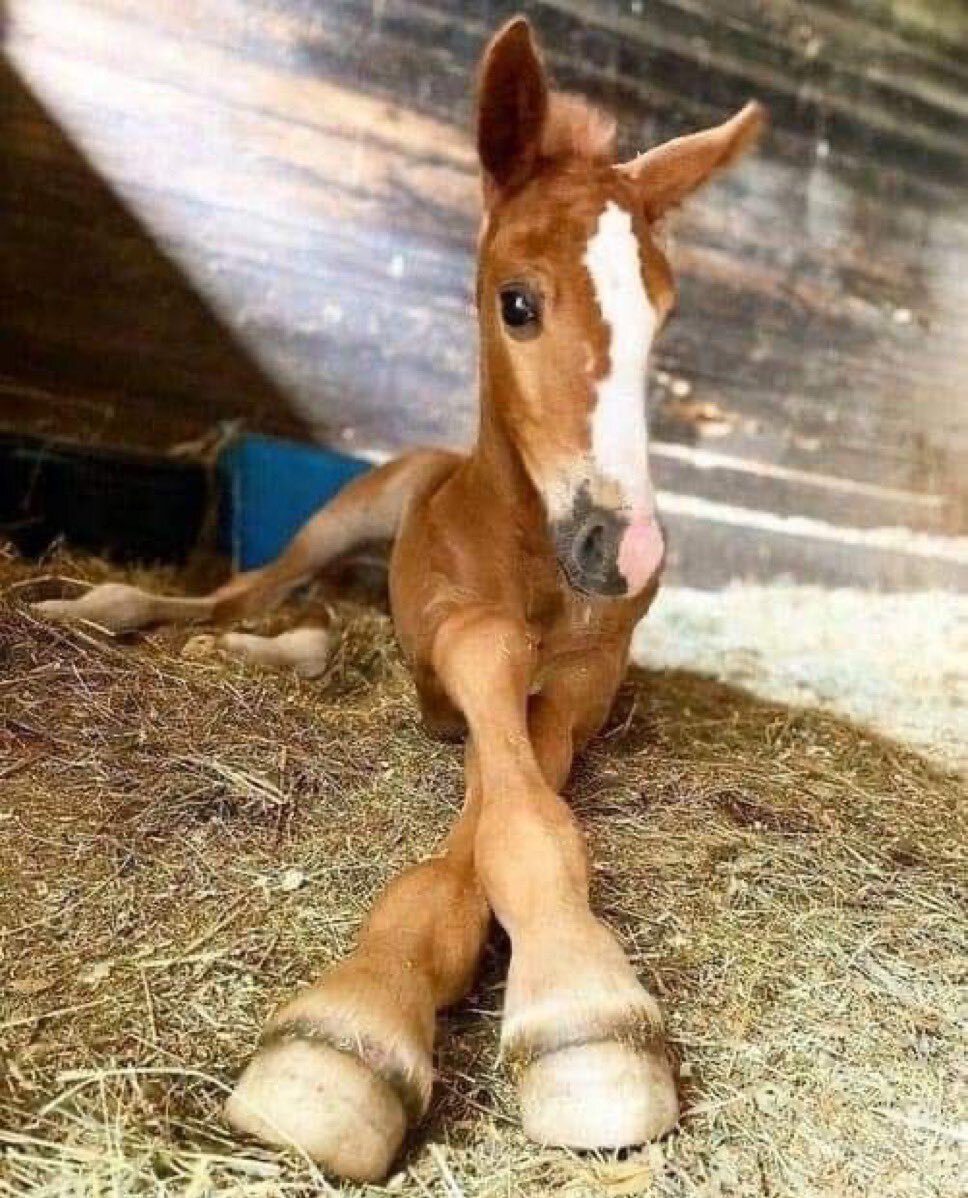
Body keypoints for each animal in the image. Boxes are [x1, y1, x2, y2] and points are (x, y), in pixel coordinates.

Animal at [35, 16, 764, 1183]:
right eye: (518, 302)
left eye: (662, 317)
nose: (629, 552)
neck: (530, 560)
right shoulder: (449, 644)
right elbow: (496, 723)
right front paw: (365, 1032)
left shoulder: (585, 682)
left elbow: (522, 800)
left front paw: (566, 1001)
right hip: (340, 521)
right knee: (239, 591)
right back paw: (96, 613)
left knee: (312, 634)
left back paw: (239, 657)